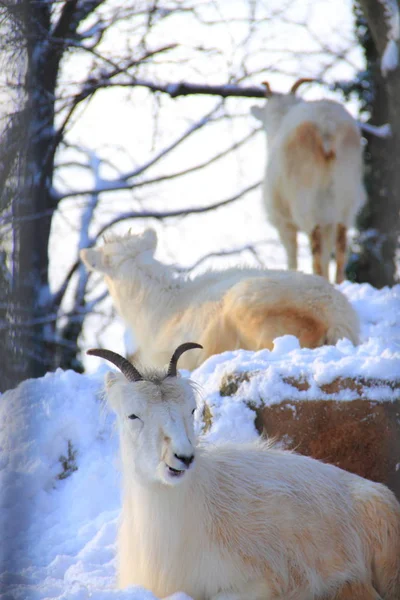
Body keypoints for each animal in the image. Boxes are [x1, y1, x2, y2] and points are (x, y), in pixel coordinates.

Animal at [252, 78, 368, 284]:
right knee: (340, 249)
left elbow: (292, 255)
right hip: (346, 199)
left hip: (307, 205)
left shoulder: (284, 223)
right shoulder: (329, 220)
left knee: (316, 252)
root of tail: (327, 127)